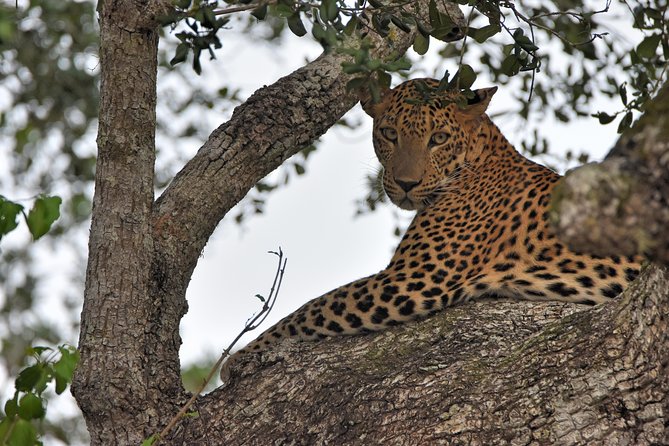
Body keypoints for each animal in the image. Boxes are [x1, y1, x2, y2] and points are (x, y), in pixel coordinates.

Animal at [220, 78, 642, 383]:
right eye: (389, 134)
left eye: (438, 139)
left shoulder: (412, 278)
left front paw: (239, 357)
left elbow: (315, 307)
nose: (406, 184)